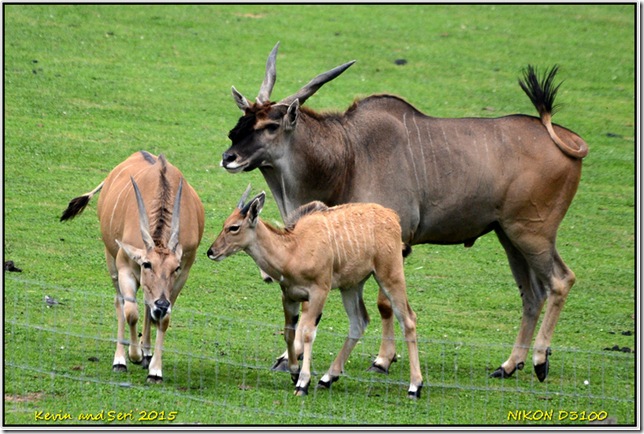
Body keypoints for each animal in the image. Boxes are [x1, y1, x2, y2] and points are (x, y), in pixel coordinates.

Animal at [61, 151, 204, 382]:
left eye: (175, 268)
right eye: (147, 264)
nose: (162, 304)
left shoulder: (181, 277)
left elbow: (163, 320)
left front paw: (155, 370)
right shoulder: (126, 268)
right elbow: (130, 312)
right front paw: (132, 355)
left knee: (147, 307)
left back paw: (147, 353)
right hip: (111, 260)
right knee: (120, 302)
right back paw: (122, 359)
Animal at [206, 186, 426, 396]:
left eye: (234, 227)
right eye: (225, 223)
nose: (211, 252)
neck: (293, 250)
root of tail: (392, 216)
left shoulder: (319, 291)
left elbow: (307, 333)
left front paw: (303, 382)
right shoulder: (289, 296)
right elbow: (289, 332)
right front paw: (294, 372)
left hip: (390, 276)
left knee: (408, 320)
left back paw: (414, 386)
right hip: (351, 286)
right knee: (359, 322)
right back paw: (328, 378)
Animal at [220, 42, 588, 382]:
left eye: (271, 125)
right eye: (243, 119)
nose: (228, 157)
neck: (348, 156)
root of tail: (567, 138)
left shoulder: (395, 243)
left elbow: (385, 304)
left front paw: (383, 359)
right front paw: (288, 358)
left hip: (532, 232)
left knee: (560, 280)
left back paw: (539, 361)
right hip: (508, 235)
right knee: (533, 294)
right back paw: (509, 365)